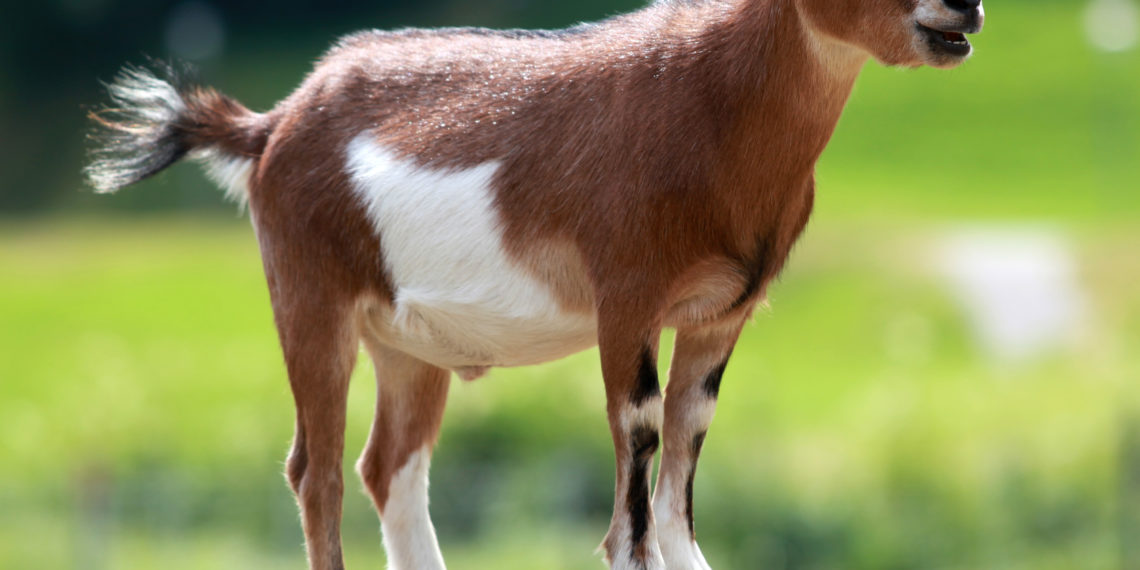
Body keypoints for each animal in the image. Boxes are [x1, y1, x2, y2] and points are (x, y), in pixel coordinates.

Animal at [85, 0, 984, 568]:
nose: (963, 9)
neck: (715, 105)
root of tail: (270, 126)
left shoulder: (720, 314)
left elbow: (684, 453)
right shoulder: (627, 302)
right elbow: (637, 465)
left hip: (407, 346)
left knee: (388, 467)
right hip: (310, 298)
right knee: (320, 470)